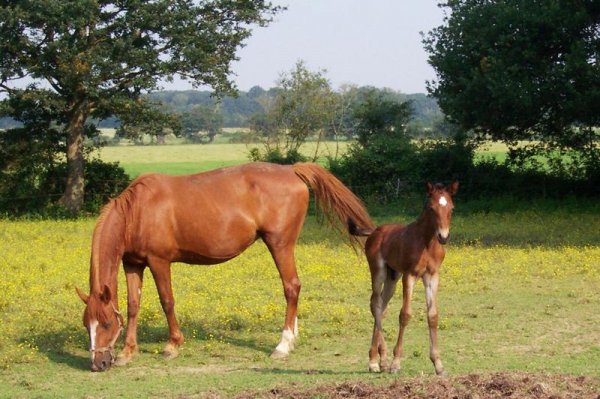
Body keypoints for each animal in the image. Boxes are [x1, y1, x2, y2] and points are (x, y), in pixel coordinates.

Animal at [346, 183, 460, 376]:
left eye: (451, 208)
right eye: (431, 208)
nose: (443, 237)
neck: (427, 242)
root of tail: (375, 230)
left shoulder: (432, 276)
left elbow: (433, 316)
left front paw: (438, 364)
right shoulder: (410, 275)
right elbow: (405, 314)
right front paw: (396, 363)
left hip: (392, 277)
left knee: (381, 305)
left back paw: (379, 359)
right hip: (378, 271)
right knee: (375, 303)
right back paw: (376, 362)